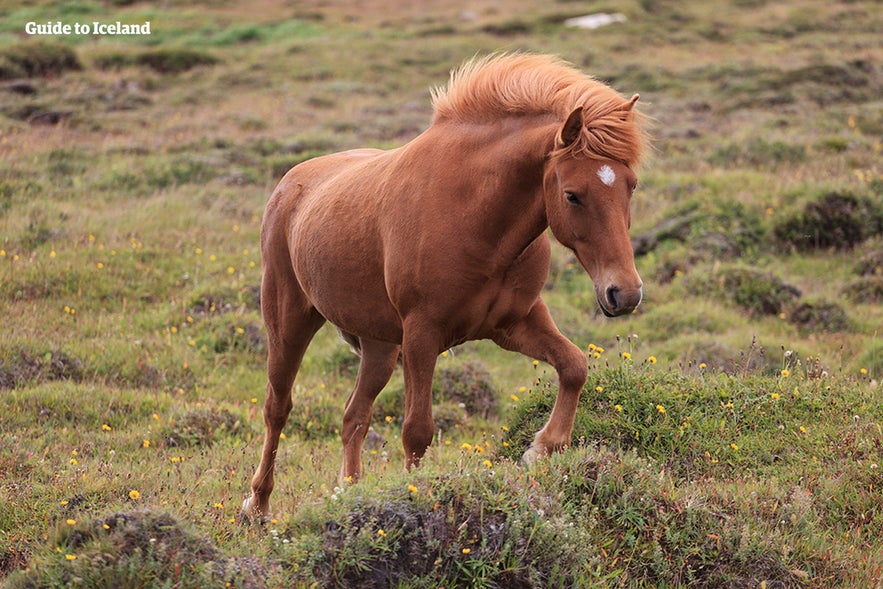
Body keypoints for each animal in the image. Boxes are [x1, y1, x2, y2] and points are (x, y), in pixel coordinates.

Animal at [242, 52, 648, 516]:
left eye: (631, 185)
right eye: (572, 195)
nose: (624, 293)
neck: (475, 217)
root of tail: (290, 184)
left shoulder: (517, 324)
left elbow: (575, 366)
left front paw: (541, 448)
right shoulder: (423, 334)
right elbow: (417, 429)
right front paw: (415, 497)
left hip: (380, 347)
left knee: (353, 417)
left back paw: (347, 492)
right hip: (289, 321)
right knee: (278, 408)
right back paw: (257, 505)